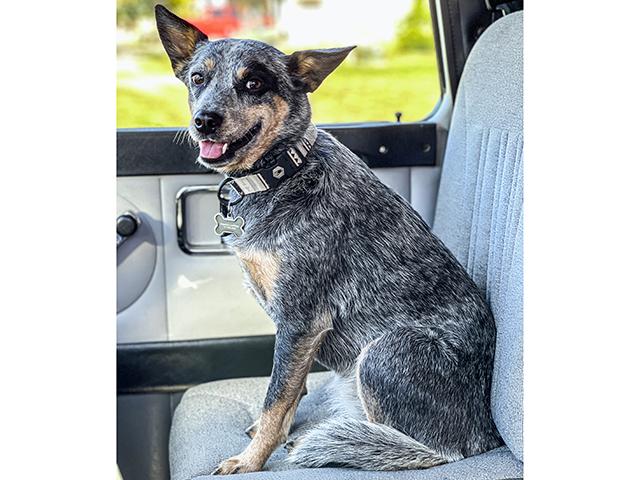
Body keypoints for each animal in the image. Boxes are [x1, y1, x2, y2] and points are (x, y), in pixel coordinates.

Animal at [156, 3, 504, 474]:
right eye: (197, 78)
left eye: (253, 83)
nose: (204, 121)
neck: (283, 171)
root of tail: (485, 435)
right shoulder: (294, 328)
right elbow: (289, 391)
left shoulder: (301, 318)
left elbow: (276, 398)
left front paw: (251, 460)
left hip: (384, 352)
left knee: (428, 451)